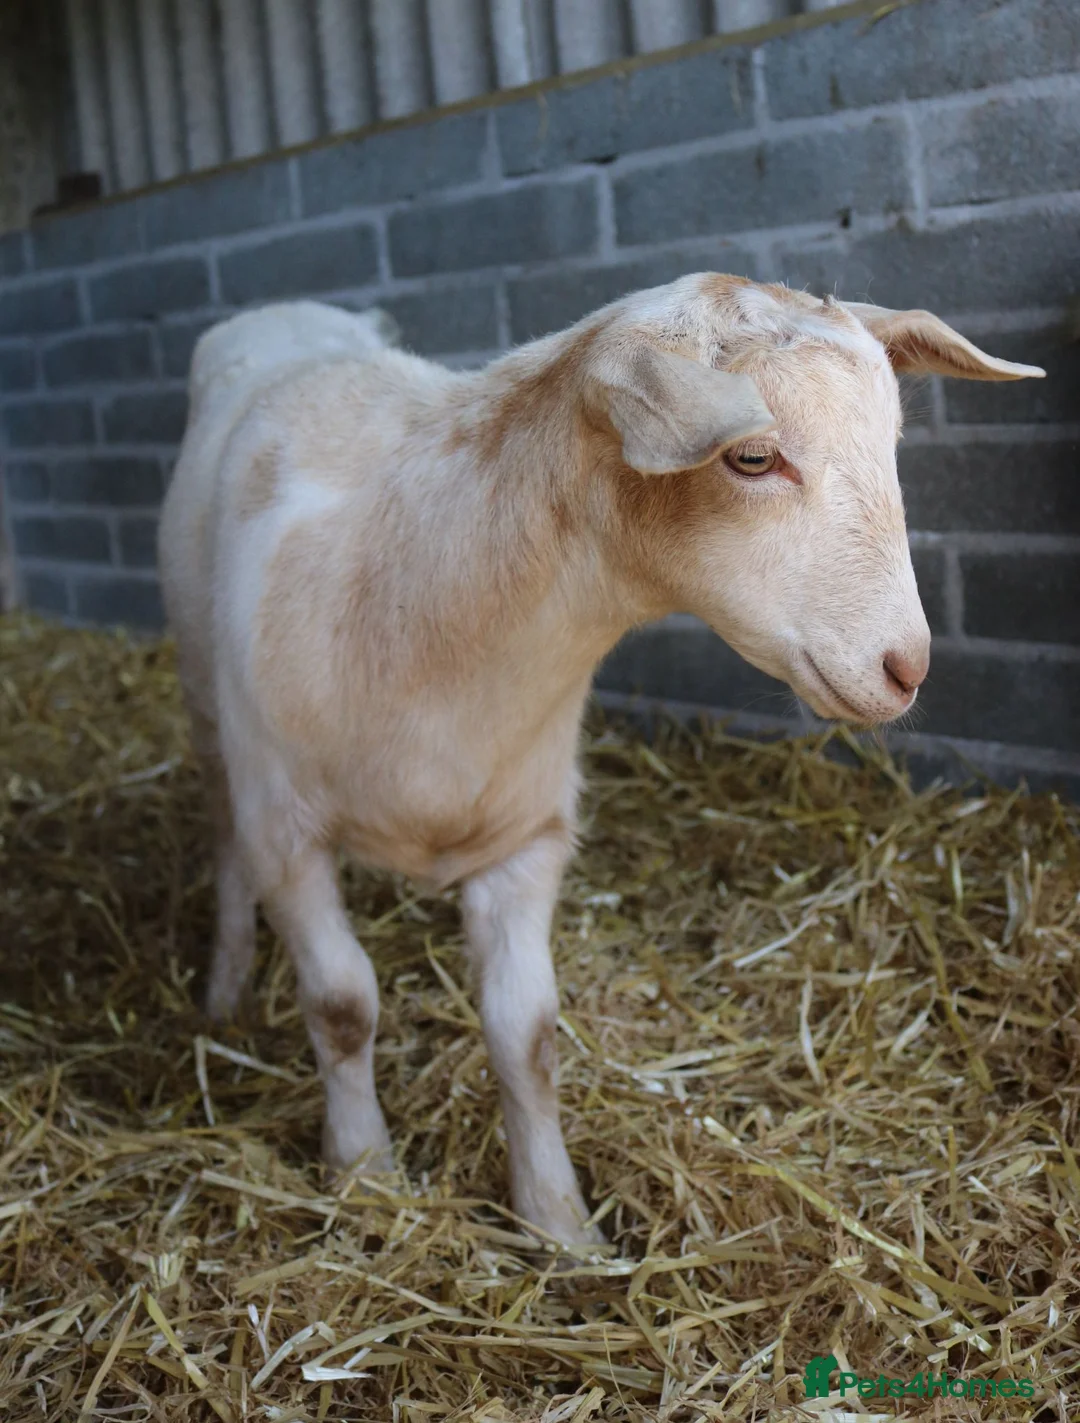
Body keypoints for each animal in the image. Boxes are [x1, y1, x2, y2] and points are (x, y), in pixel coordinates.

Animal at [158, 275, 1042, 1246]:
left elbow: (528, 1034)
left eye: (890, 443)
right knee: (222, 841)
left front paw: (560, 1225)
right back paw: (226, 988)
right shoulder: (287, 834)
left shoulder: (528, 838)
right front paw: (364, 1176)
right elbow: (344, 1007)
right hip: (209, 713)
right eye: (753, 457)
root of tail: (295, 311)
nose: (907, 667)